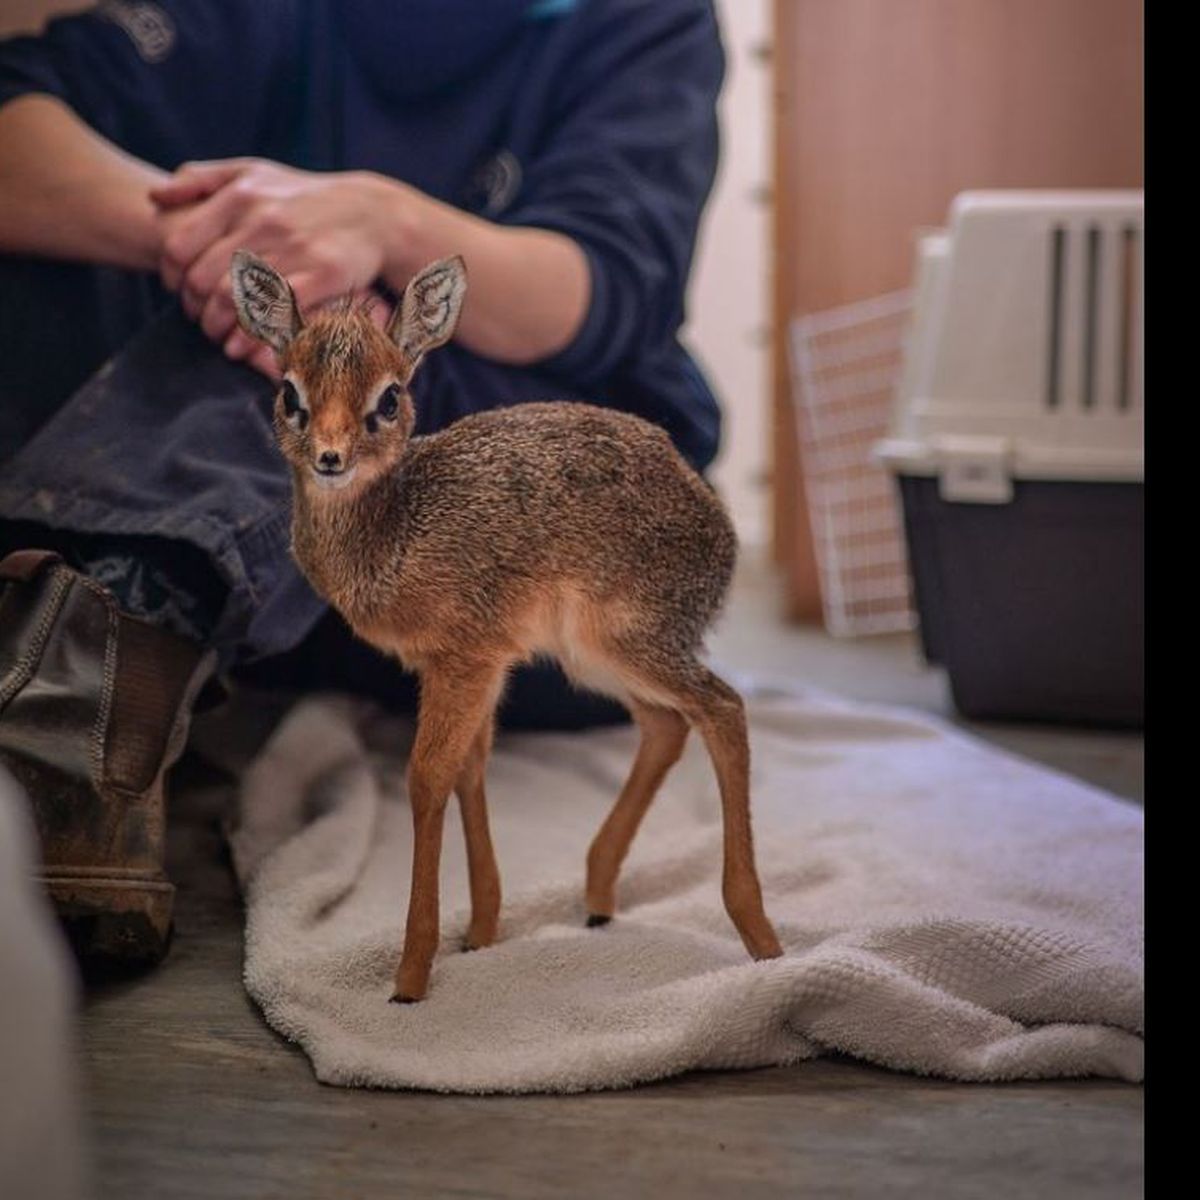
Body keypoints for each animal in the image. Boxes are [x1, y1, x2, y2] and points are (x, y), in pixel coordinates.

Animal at [231, 248, 787, 998]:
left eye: (389, 398)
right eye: (290, 394)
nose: (329, 457)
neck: (394, 529)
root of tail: (720, 532)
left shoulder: (466, 659)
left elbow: (426, 778)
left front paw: (411, 974)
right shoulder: (471, 665)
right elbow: (471, 769)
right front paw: (481, 929)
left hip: (630, 638)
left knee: (723, 709)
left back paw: (759, 936)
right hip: (591, 659)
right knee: (668, 725)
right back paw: (598, 895)